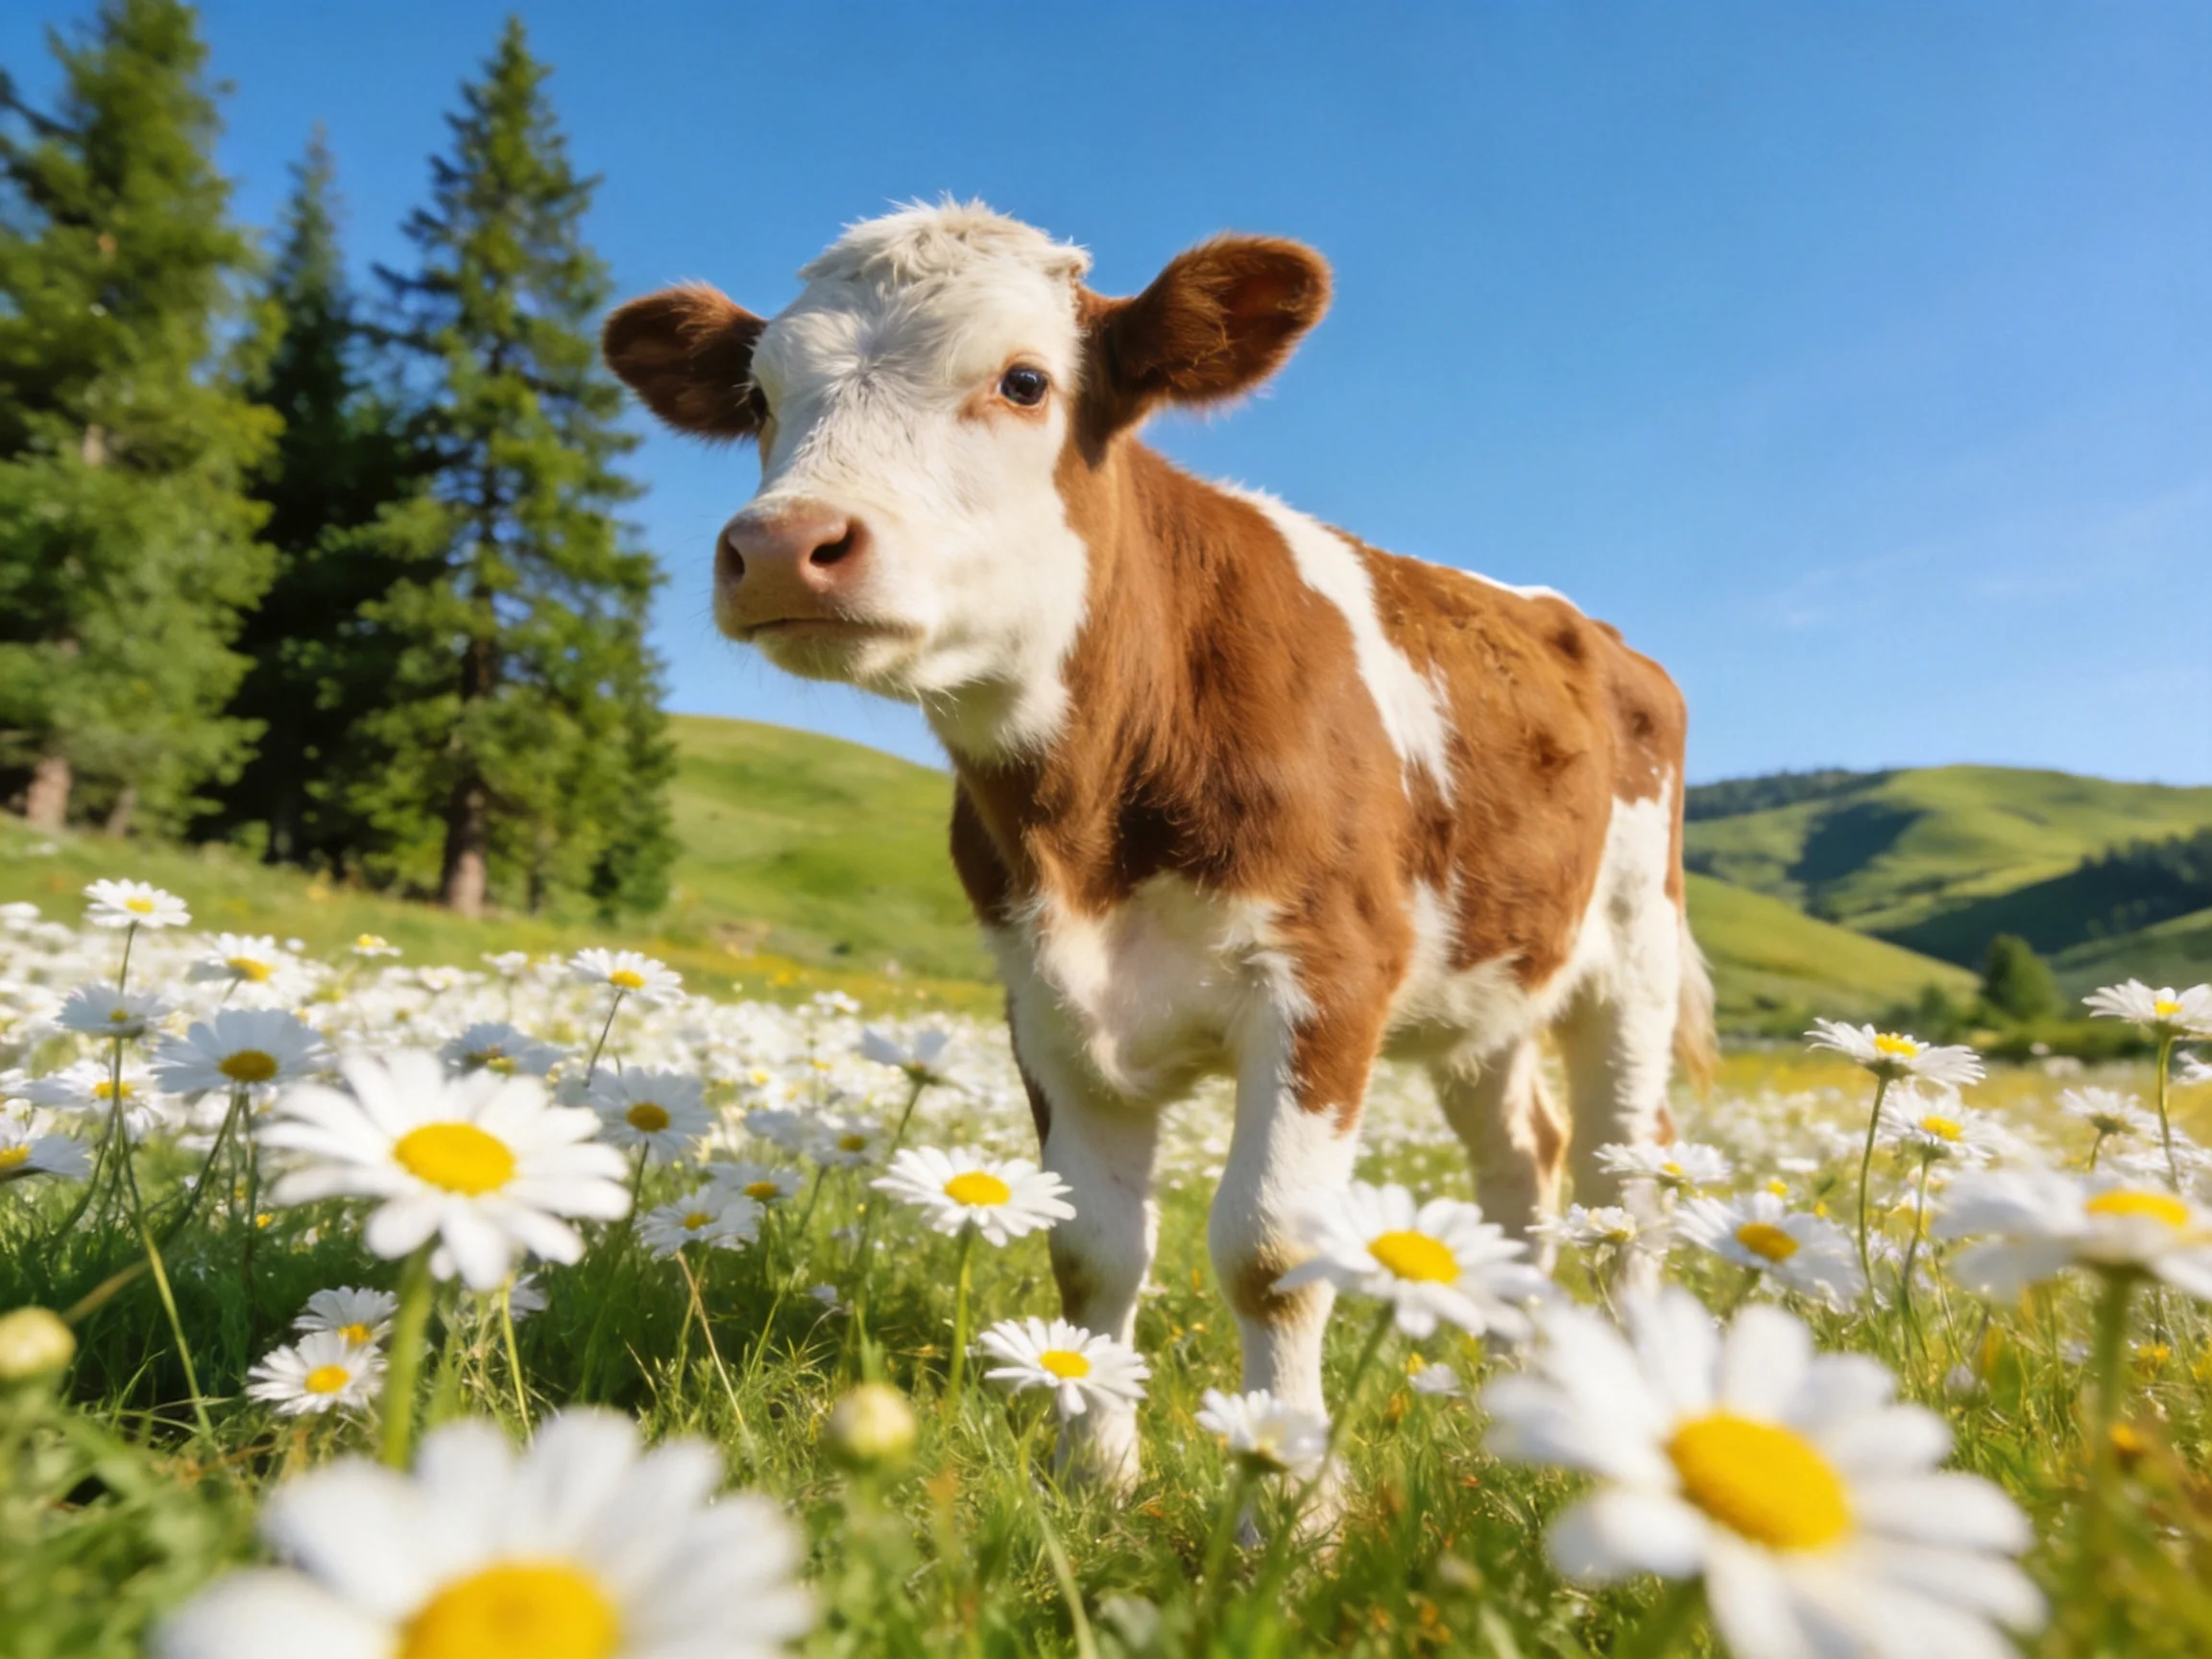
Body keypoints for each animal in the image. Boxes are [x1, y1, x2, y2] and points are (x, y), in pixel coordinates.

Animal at [604, 201, 1713, 1490]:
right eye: (762, 397)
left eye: (1024, 381)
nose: (783, 546)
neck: (1089, 828)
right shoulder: (1043, 1003)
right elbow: (1090, 1250)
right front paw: (1095, 1473)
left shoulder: (1329, 979)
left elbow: (1270, 1253)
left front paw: (1289, 1494)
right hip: (1486, 995)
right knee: (1519, 1168)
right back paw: (1516, 1381)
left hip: (1631, 961)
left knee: (1623, 1181)